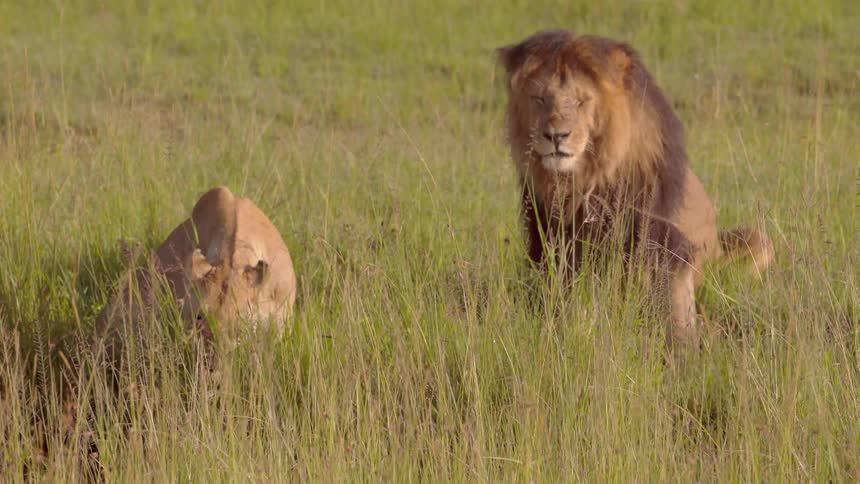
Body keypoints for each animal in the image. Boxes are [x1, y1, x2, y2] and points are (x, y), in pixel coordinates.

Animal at [496, 30, 773, 347]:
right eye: (540, 99)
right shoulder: (550, 240)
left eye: (581, 101)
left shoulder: (661, 239)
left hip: (756, 241)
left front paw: (686, 342)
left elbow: (671, 298)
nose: (556, 136)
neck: (587, 180)